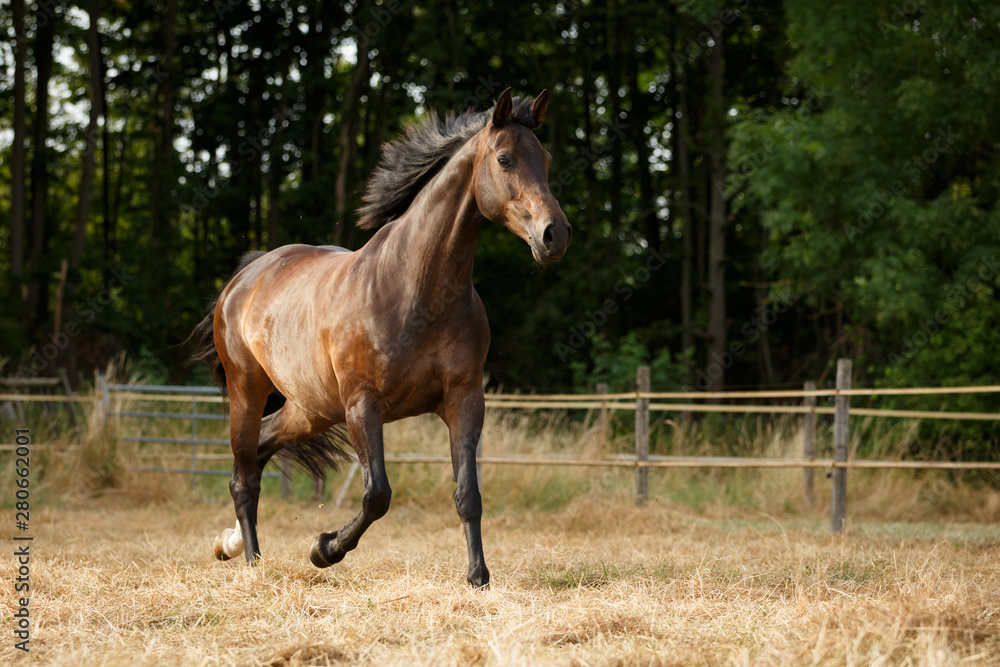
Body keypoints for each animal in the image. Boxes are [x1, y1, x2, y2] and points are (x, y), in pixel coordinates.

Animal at [193, 86, 572, 588]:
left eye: (545, 160)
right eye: (505, 159)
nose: (555, 234)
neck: (416, 291)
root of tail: (244, 277)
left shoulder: (464, 399)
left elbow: (467, 494)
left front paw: (478, 576)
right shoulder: (363, 406)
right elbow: (377, 494)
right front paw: (324, 549)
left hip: (310, 408)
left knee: (258, 449)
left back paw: (230, 544)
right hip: (248, 391)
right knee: (244, 476)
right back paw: (253, 560)